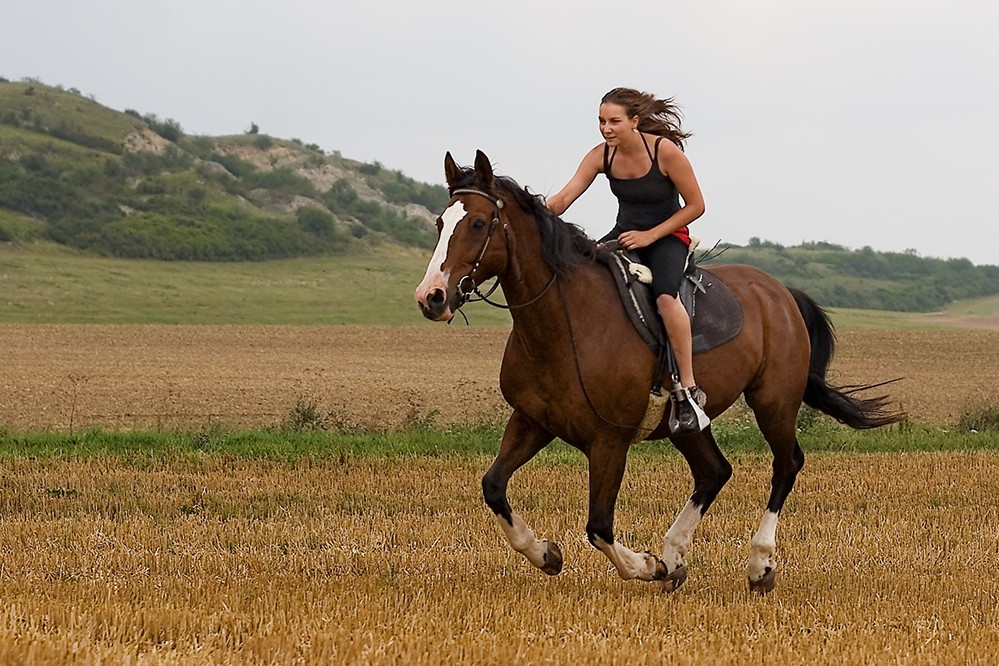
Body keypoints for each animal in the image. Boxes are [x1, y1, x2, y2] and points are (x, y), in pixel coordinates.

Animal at [410, 150, 904, 592]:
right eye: (439, 223)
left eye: (477, 223)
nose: (431, 297)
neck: (565, 322)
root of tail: (780, 292)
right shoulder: (532, 420)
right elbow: (494, 486)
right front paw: (546, 553)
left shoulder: (609, 441)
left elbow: (599, 526)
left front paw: (645, 566)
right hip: (688, 425)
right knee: (714, 472)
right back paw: (676, 555)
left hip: (774, 401)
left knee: (786, 464)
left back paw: (757, 565)